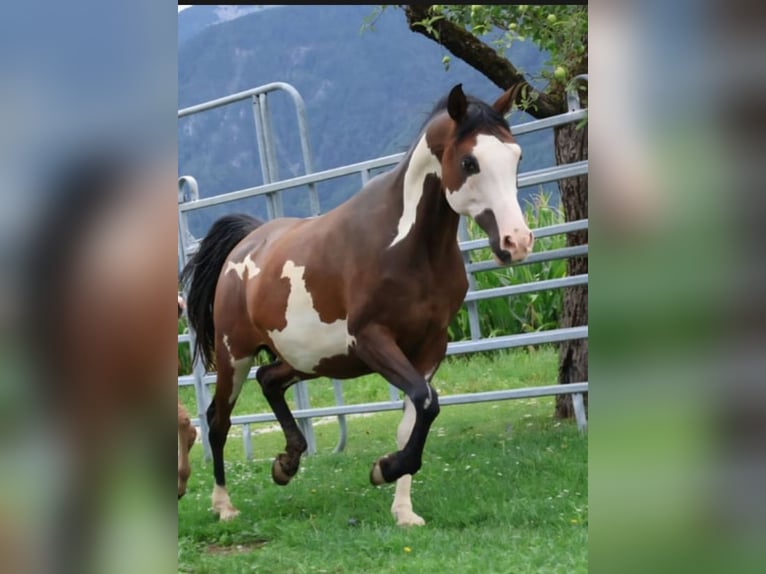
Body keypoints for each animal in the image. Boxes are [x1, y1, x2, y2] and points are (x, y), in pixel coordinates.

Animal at [181, 83, 533, 526]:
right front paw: (384, 468)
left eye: (515, 156)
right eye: (470, 161)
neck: (409, 249)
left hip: (308, 359)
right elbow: (427, 402)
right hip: (234, 355)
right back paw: (224, 505)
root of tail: (246, 243)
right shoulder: (372, 339)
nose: (517, 242)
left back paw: (286, 464)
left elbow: (416, 414)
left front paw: (403, 509)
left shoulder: (430, 347)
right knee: (218, 419)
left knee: (269, 380)